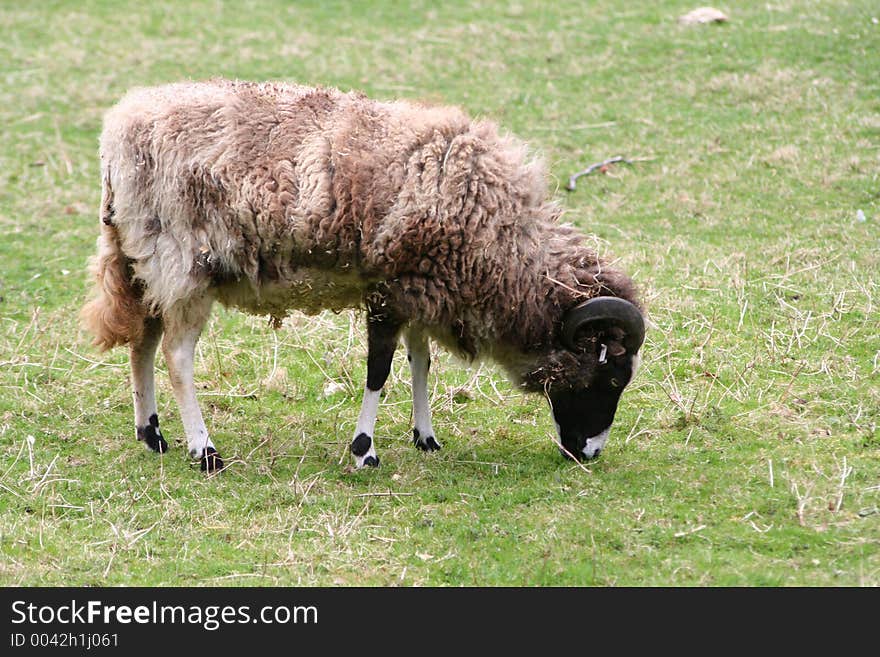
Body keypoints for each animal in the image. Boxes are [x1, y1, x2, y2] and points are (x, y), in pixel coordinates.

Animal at [82, 80, 648, 472]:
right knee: (176, 357)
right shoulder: (388, 292)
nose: (588, 454)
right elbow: (379, 371)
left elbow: (421, 362)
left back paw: (152, 435)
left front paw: (426, 438)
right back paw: (205, 453)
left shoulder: (420, 287)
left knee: (142, 343)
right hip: (184, 265)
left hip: (143, 262)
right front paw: (364, 452)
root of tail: (118, 133)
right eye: (612, 375)